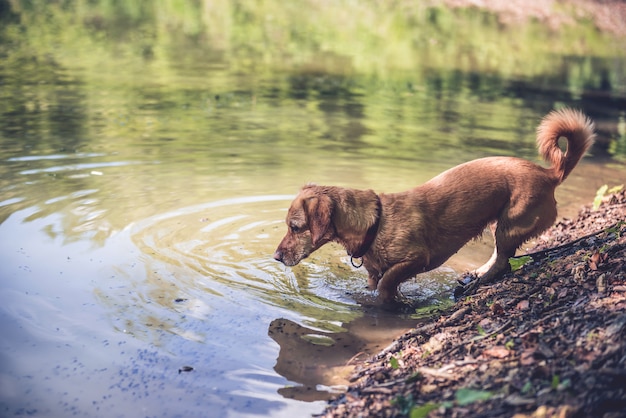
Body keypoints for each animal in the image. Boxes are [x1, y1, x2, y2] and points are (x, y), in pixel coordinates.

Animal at [272, 109, 596, 302]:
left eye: (296, 228)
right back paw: (477, 274)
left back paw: (480, 281)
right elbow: (375, 285)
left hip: (511, 223)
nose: (275, 257)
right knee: (499, 257)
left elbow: (389, 282)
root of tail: (550, 173)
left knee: (503, 261)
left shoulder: (416, 259)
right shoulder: (372, 275)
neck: (375, 223)